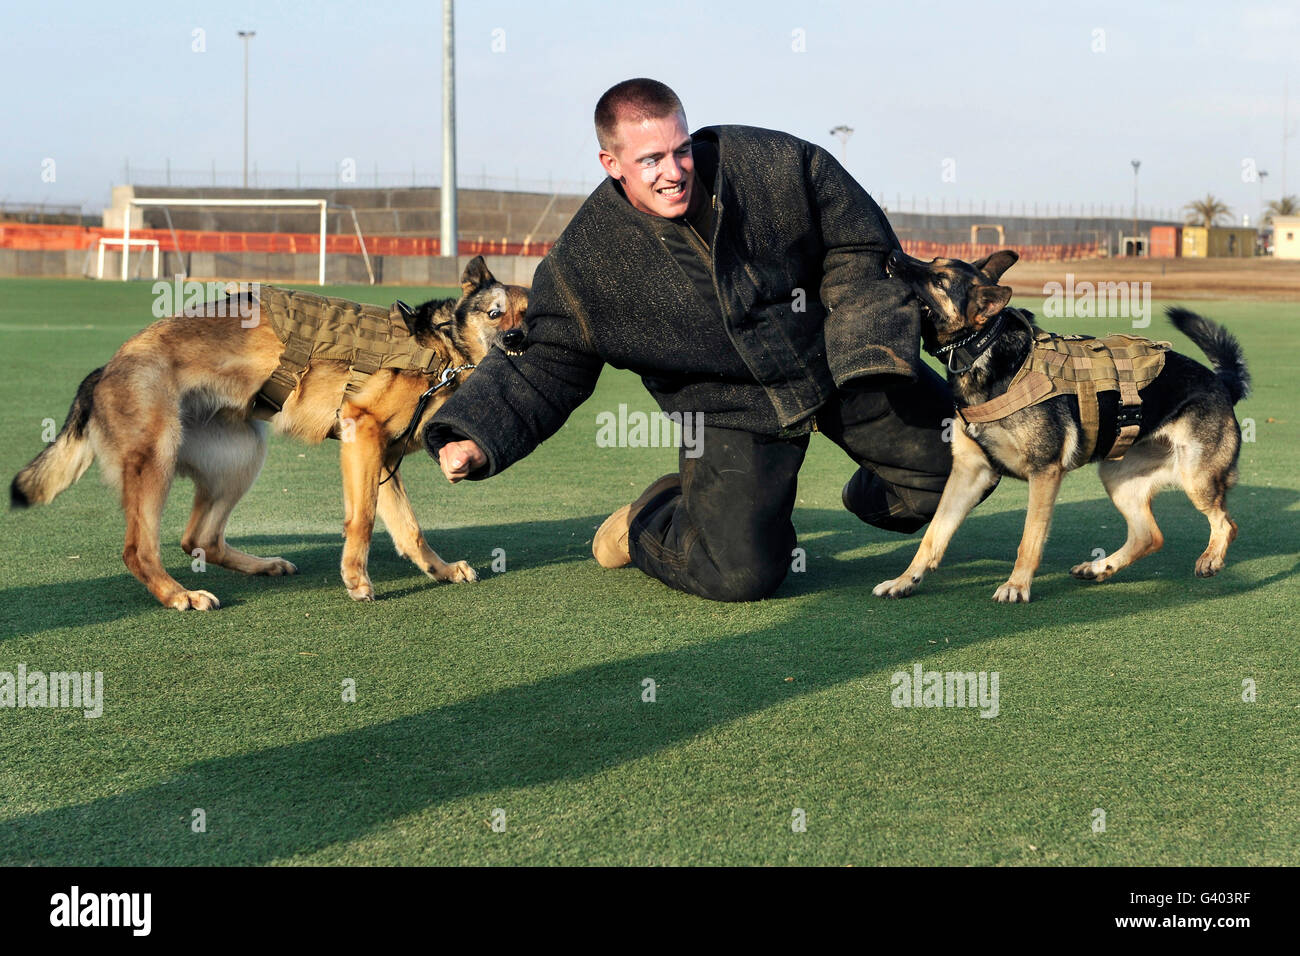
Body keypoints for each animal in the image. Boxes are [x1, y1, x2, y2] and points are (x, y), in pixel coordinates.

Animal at [10, 257, 527, 608]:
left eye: (531, 316)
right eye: (494, 313)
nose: (515, 340)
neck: (444, 350)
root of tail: (108, 367)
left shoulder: (383, 457)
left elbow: (410, 529)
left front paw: (439, 570)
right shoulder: (362, 436)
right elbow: (361, 520)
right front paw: (356, 579)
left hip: (242, 458)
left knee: (199, 539)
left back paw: (261, 566)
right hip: (156, 461)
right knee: (139, 550)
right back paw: (179, 595)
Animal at [873, 251, 1248, 600]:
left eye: (939, 280)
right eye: (933, 261)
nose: (893, 257)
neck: (985, 348)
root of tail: (1222, 383)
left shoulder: (1044, 472)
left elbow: (1030, 536)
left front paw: (1016, 585)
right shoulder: (969, 473)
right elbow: (934, 534)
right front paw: (905, 580)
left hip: (1196, 478)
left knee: (1227, 523)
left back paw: (1211, 558)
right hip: (1117, 477)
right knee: (1149, 536)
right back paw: (1100, 567)